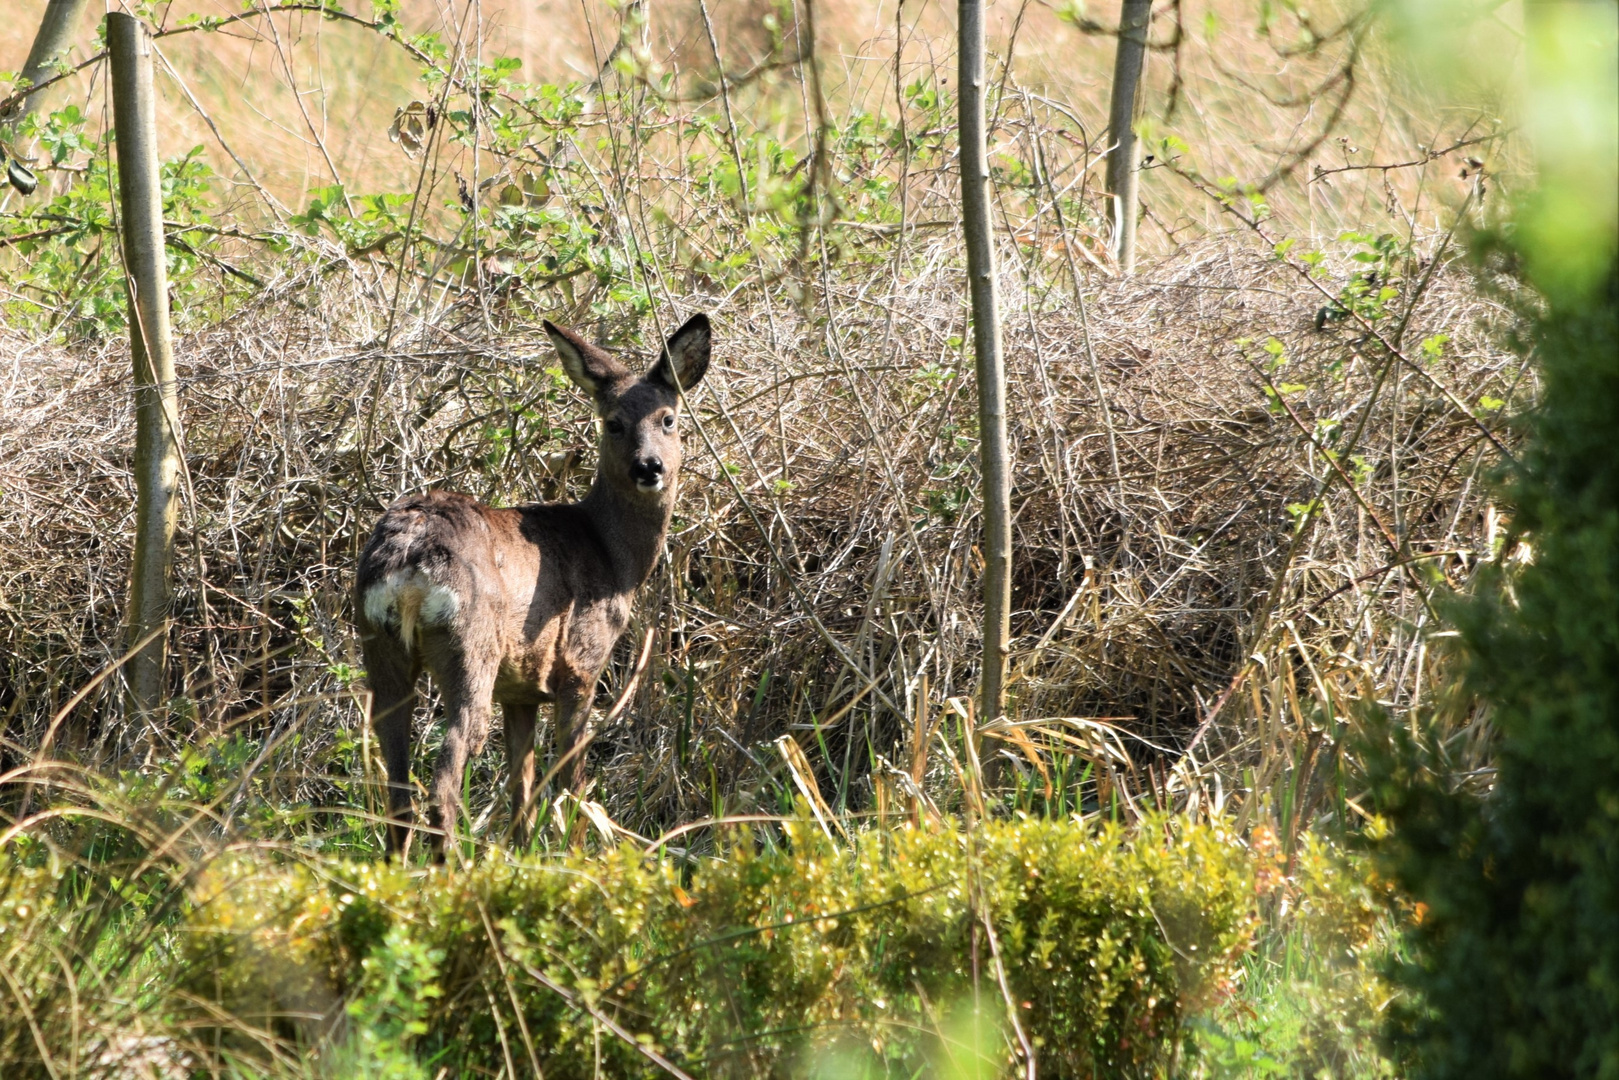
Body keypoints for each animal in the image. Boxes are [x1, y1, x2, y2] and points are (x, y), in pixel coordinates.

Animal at [357, 314, 712, 861]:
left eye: (668, 418)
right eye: (613, 422)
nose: (649, 466)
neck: (612, 555)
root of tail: (409, 560)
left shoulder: (520, 689)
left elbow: (521, 788)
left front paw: (523, 857)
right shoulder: (580, 664)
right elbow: (572, 779)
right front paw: (578, 855)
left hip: (381, 645)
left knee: (397, 786)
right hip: (469, 646)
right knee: (443, 781)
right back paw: (450, 867)